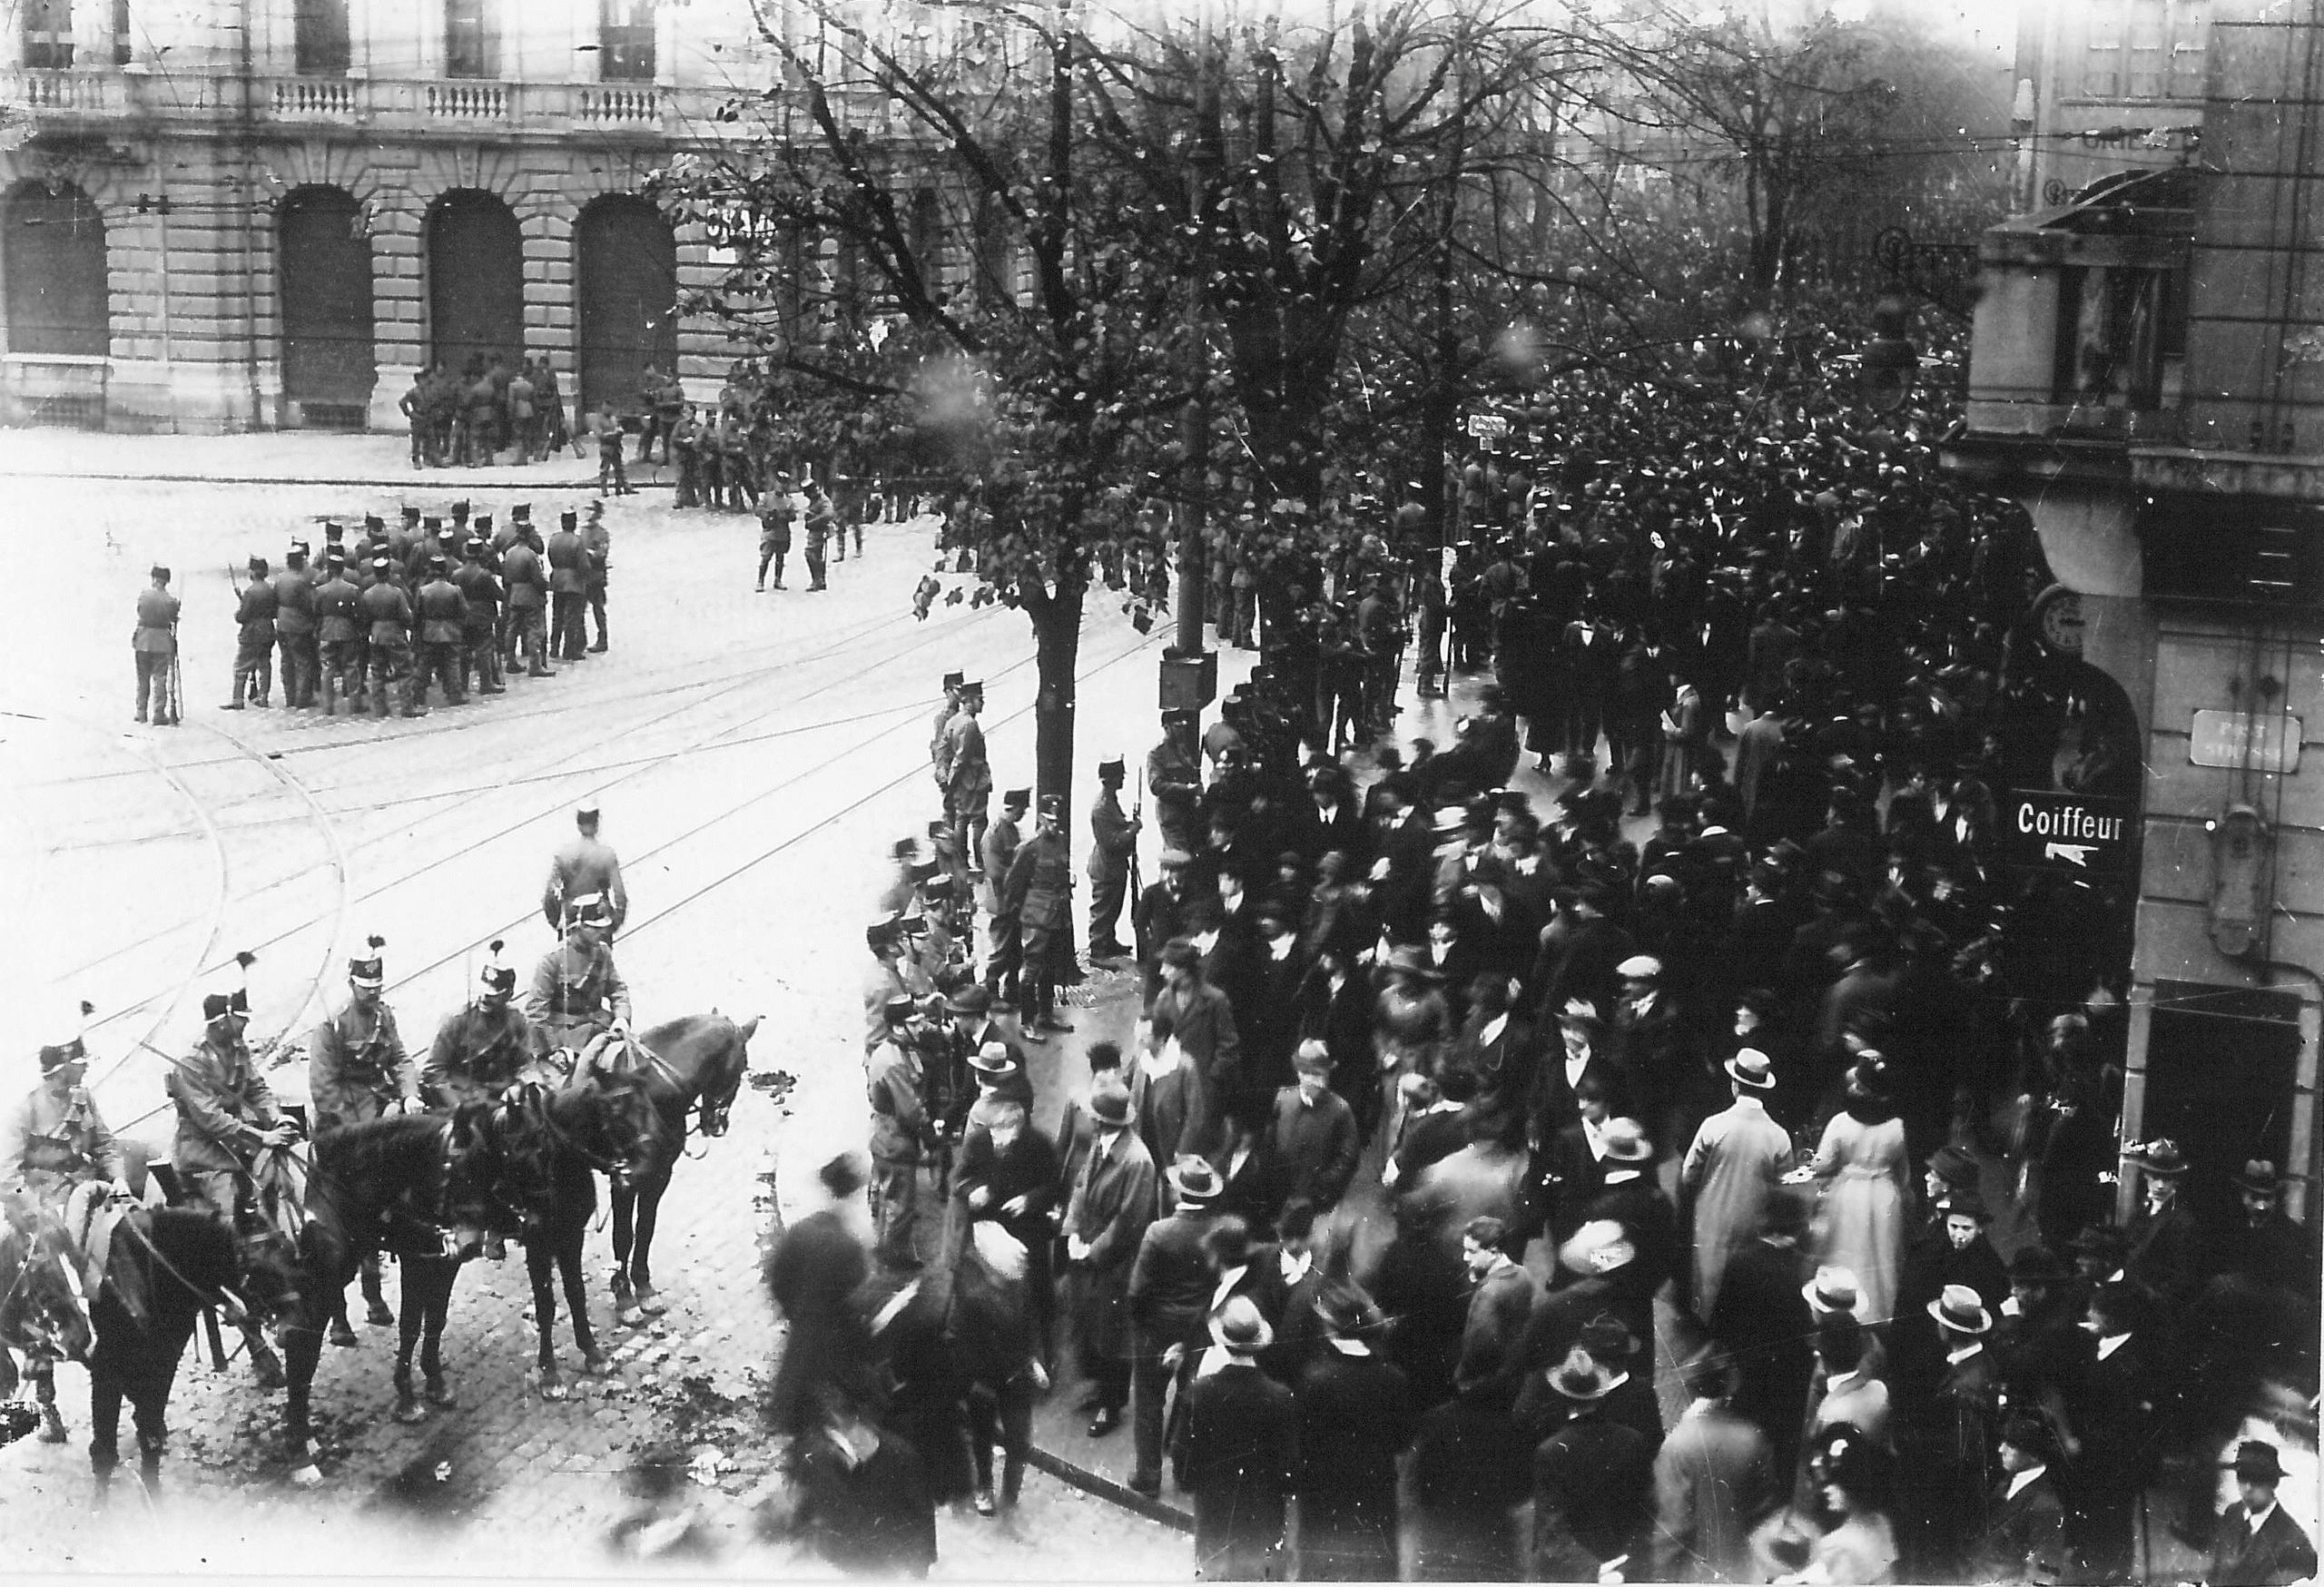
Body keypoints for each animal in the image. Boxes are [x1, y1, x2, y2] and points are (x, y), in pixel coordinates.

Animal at [604, 1017, 757, 1328]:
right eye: (742, 1065)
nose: (719, 1123)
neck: (650, 1091)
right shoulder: (623, 1181)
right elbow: (623, 1235)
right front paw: (624, 1299)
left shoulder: (660, 1174)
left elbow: (645, 1229)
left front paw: (644, 1289)